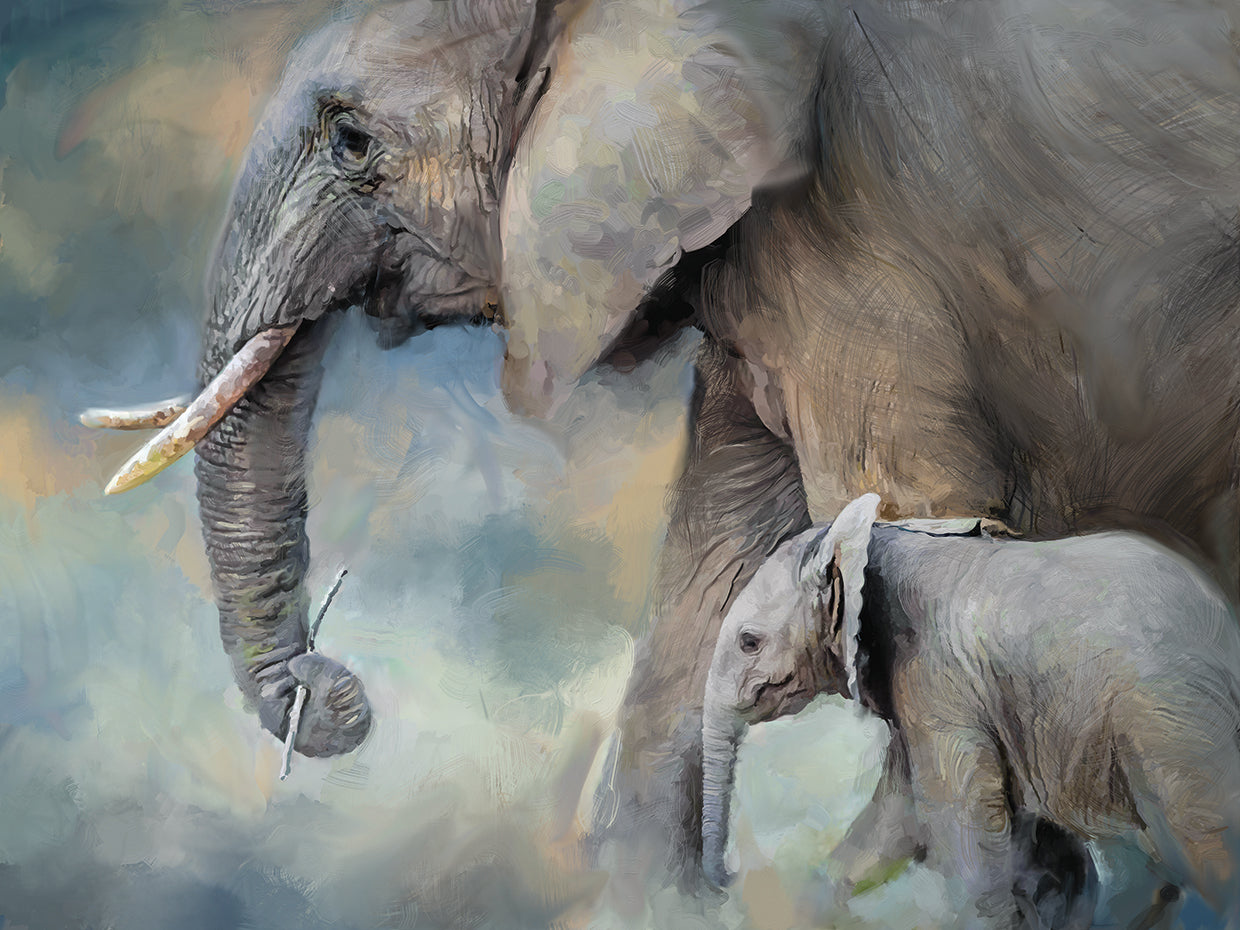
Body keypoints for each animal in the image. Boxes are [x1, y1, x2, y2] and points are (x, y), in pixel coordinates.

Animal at [700, 494, 1240, 928]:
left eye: (749, 642)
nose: (728, 880)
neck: (872, 539)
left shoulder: (935, 677)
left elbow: (960, 825)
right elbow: (891, 823)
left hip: (1173, 721)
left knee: (1207, 843)